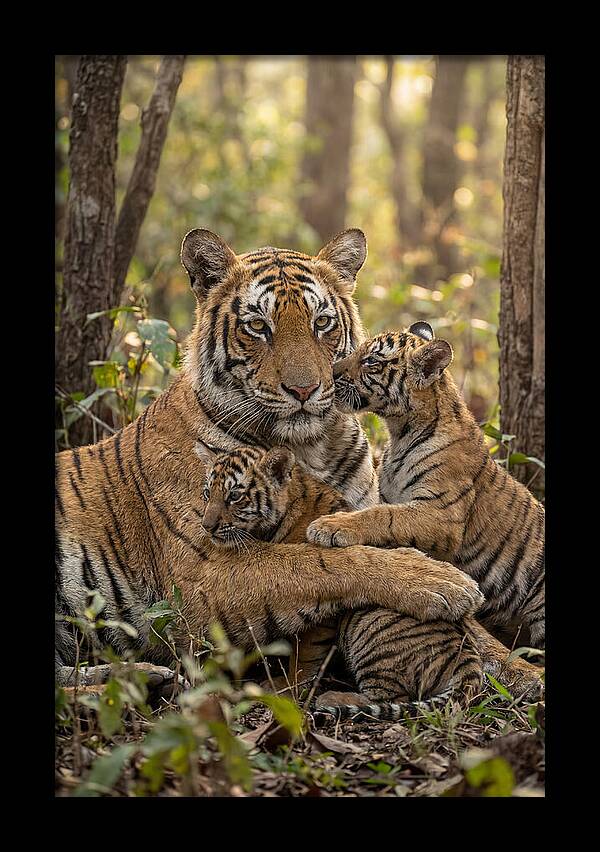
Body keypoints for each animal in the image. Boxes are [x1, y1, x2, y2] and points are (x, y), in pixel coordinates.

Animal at [195, 440, 484, 710]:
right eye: (208, 493)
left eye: (234, 496)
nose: (206, 527)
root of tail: (467, 658)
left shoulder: (323, 610)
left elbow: (306, 654)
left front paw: (288, 687)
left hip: (369, 626)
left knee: (391, 697)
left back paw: (334, 698)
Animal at [307, 321, 545, 661]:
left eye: (371, 361)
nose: (330, 372)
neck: (399, 431)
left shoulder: (441, 515)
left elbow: (384, 516)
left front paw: (331, 526)